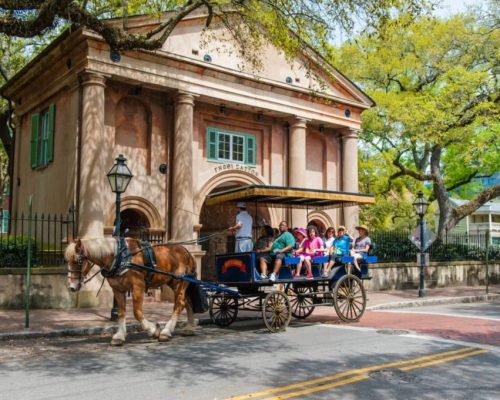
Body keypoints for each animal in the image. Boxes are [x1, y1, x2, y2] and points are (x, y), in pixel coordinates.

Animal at [66, 239, 197, 346]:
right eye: (67, 260)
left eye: (77, 261)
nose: (71, 287)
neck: (120, 258)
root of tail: (188, 253)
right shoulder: (118, 289)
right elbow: (121, 312)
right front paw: (119, 336)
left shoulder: (138, 286)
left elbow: (137, 312)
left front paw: (153, 330)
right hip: (174, 283)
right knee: (187, 302)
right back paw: (189, 328)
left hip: (180, 282)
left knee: (179, 304)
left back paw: (166, 331)